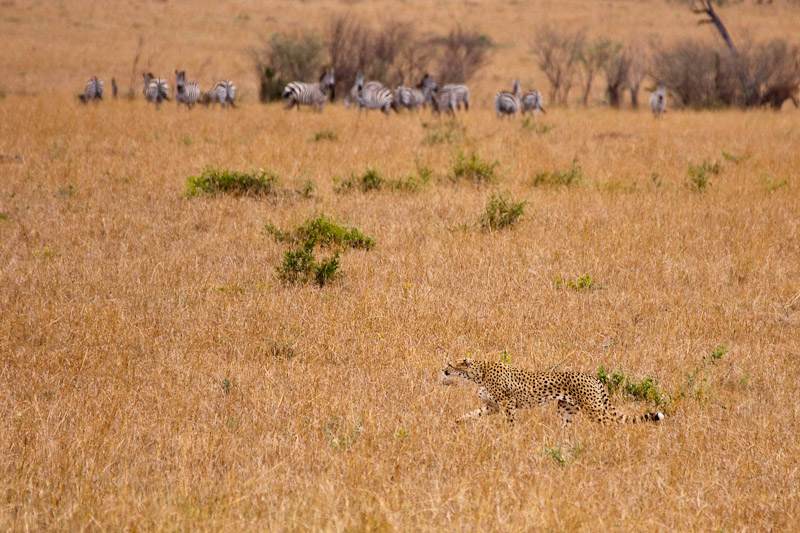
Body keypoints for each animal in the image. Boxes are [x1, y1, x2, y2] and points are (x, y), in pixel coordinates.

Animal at [444, 358, 664, 432]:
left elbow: (510, 422)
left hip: (593, 409)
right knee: (567, 429)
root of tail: (594, 377)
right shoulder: (493, 406)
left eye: (449, 364)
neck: (477, 373)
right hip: (565, 409)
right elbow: (472, 414)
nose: (443, 370)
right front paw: (457, 422)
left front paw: (510, 436)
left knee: (611, 422)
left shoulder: (507, 404)